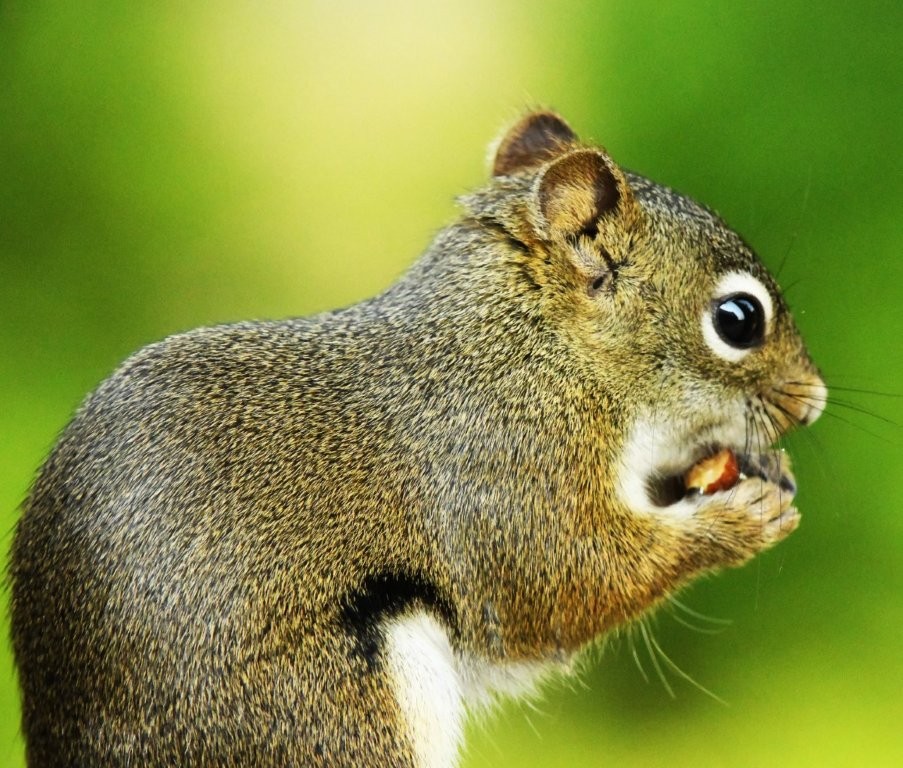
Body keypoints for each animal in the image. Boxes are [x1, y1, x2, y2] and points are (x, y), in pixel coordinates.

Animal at [10, 111, 827, 767]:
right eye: (737, 319)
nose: (814, 401)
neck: (538, 350)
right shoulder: (504, 465)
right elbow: (562, 581)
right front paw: (736, 523)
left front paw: (762, 469)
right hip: (329, 713)